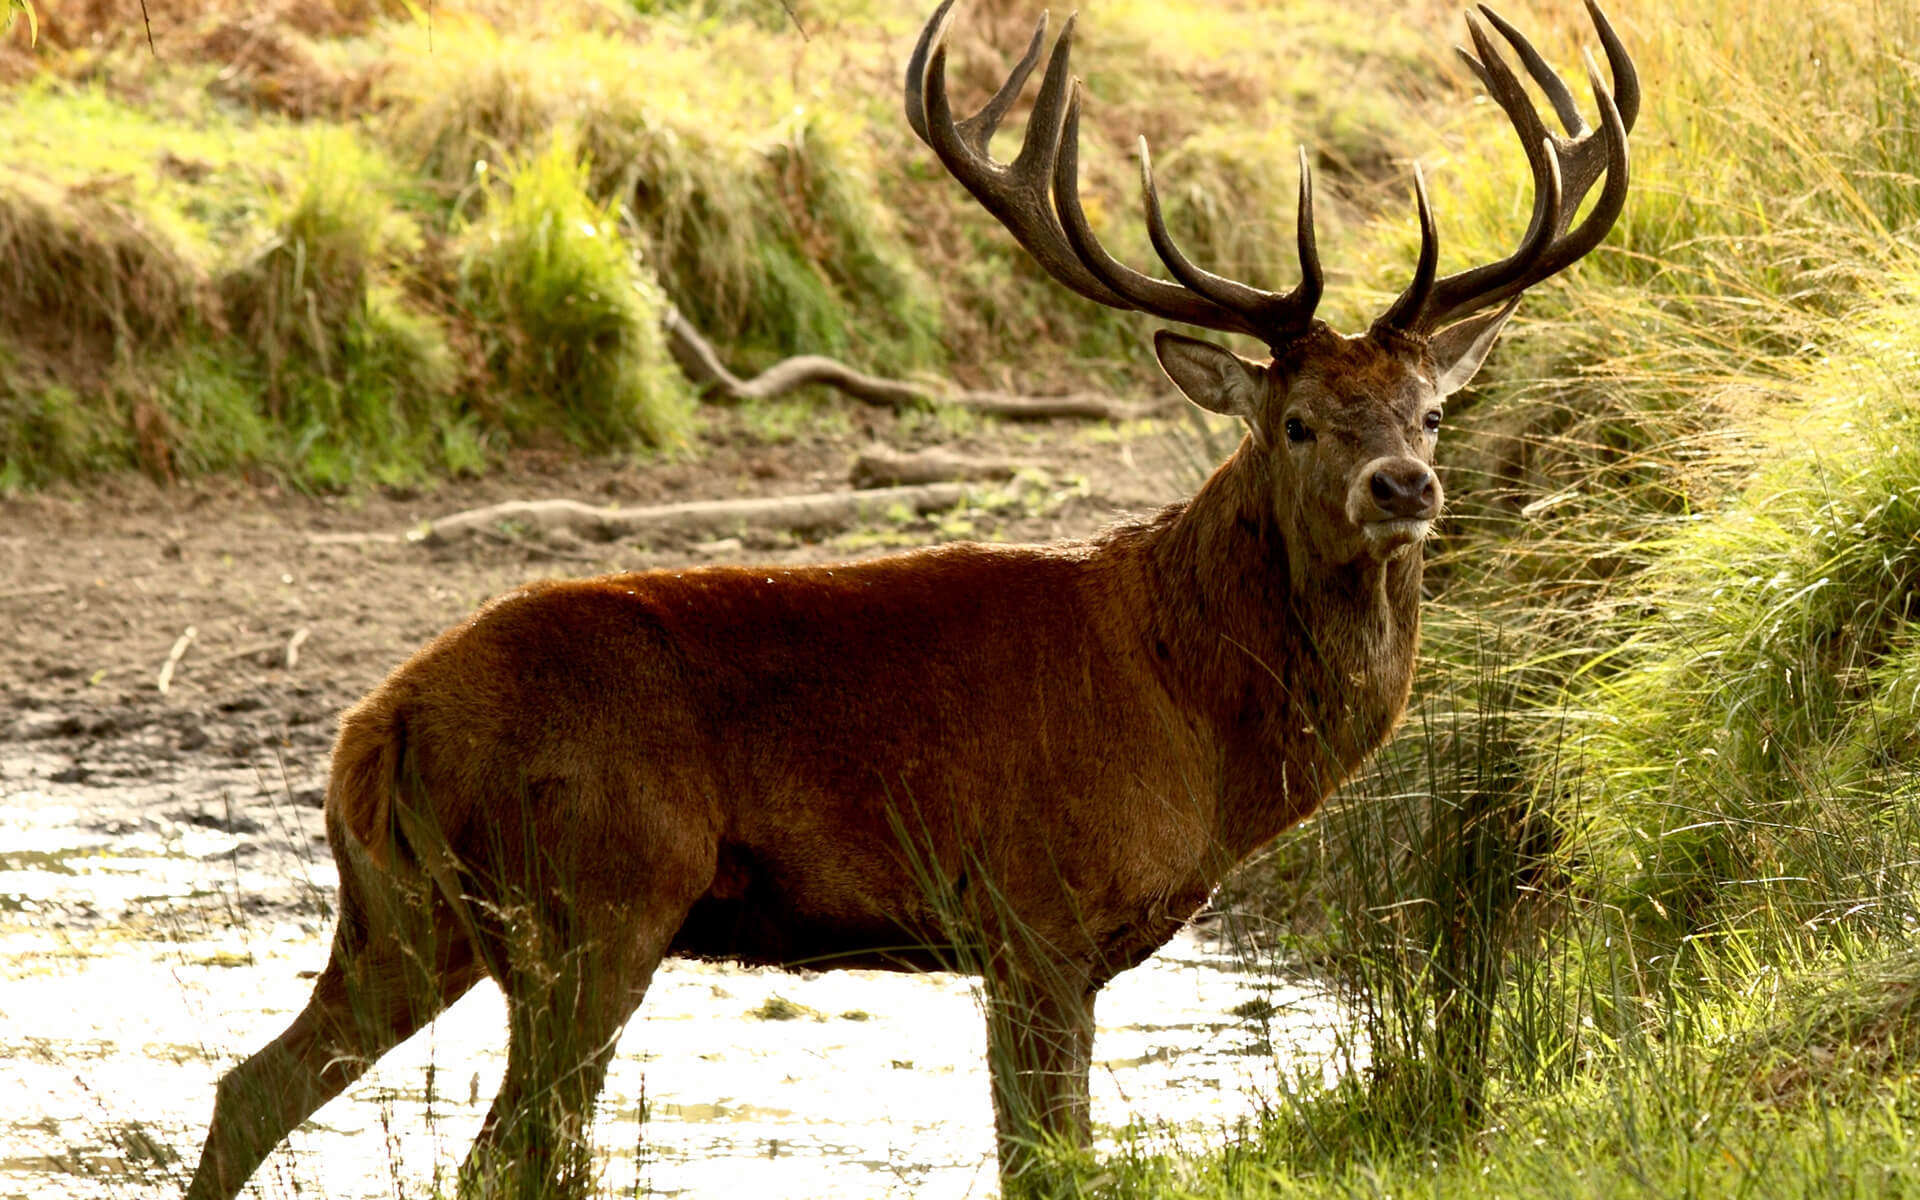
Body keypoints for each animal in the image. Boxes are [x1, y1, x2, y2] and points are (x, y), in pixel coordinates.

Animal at [185, 2, 1636, 1196]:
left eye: (1431, 408)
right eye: (1296, 422)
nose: (1404, 485)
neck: (1193, 721)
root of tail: (377, 725)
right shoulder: (1035, 912)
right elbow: (1046, 1168)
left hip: (408, 914)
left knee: (252, 1088)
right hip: (593, 899)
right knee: (503, 1156)